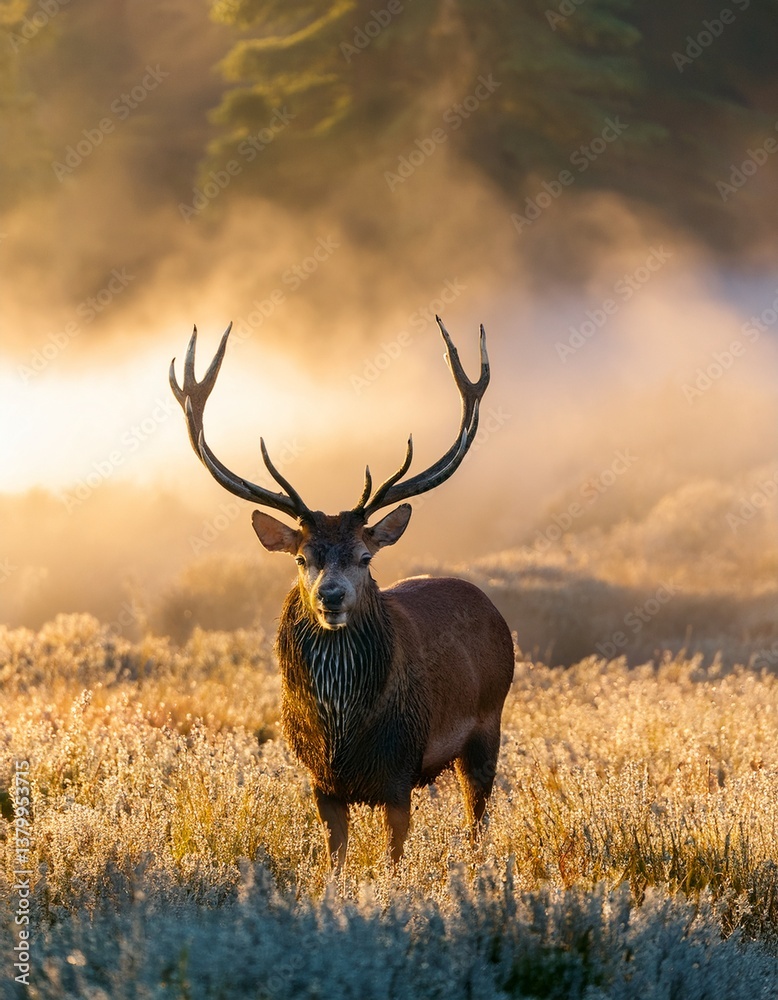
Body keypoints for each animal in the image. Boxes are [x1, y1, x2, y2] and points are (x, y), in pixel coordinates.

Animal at [169, 317, 514, 869]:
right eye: (301, 558)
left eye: (366, 557)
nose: (331, 596)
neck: (341, 735)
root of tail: (492, 608)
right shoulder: (320, 781)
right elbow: (334, 860)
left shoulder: (399, 768)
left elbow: (394, 859)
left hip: (488, 723)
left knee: (477, 816)